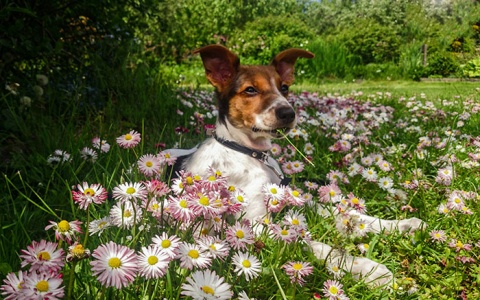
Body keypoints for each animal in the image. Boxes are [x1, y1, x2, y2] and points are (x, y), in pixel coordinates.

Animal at [170, 45, 424, 288]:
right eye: (250, 90)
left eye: (284, 87)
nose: (288, 113)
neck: (248, 152)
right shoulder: (256, 225)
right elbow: (316, 245)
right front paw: (369, 269)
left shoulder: (297, 200)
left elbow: (351, 214)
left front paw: (401, 225)